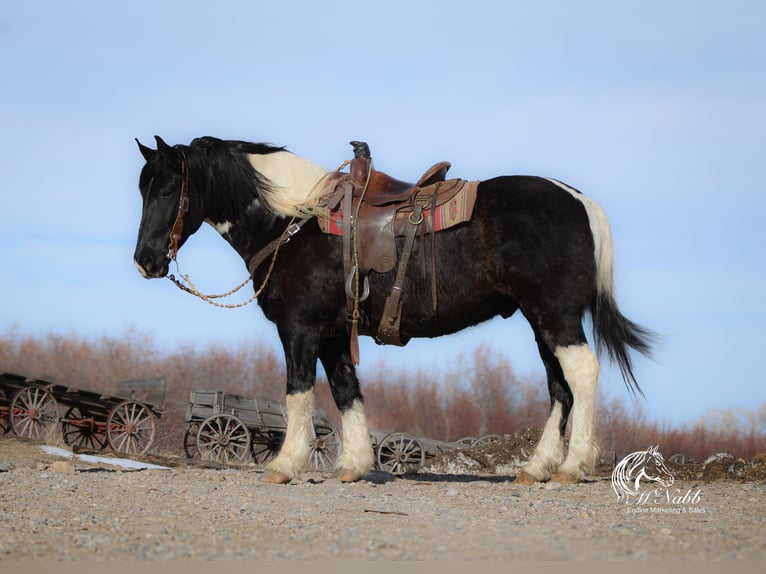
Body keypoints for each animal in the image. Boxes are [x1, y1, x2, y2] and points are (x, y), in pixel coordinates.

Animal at [132, 135, 656, 486]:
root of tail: (581, 201)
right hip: (541, 320)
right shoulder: (332, 335)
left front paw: (285, 465)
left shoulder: (300, 329)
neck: (295, 220)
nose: (146, 260)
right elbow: (347, 391)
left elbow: (298, 393)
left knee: (582, 375)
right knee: (559, 388)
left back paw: (572, 467)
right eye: (143, 189)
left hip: (555, 316)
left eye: (167, 190)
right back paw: (537, 467)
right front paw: (353, 465)